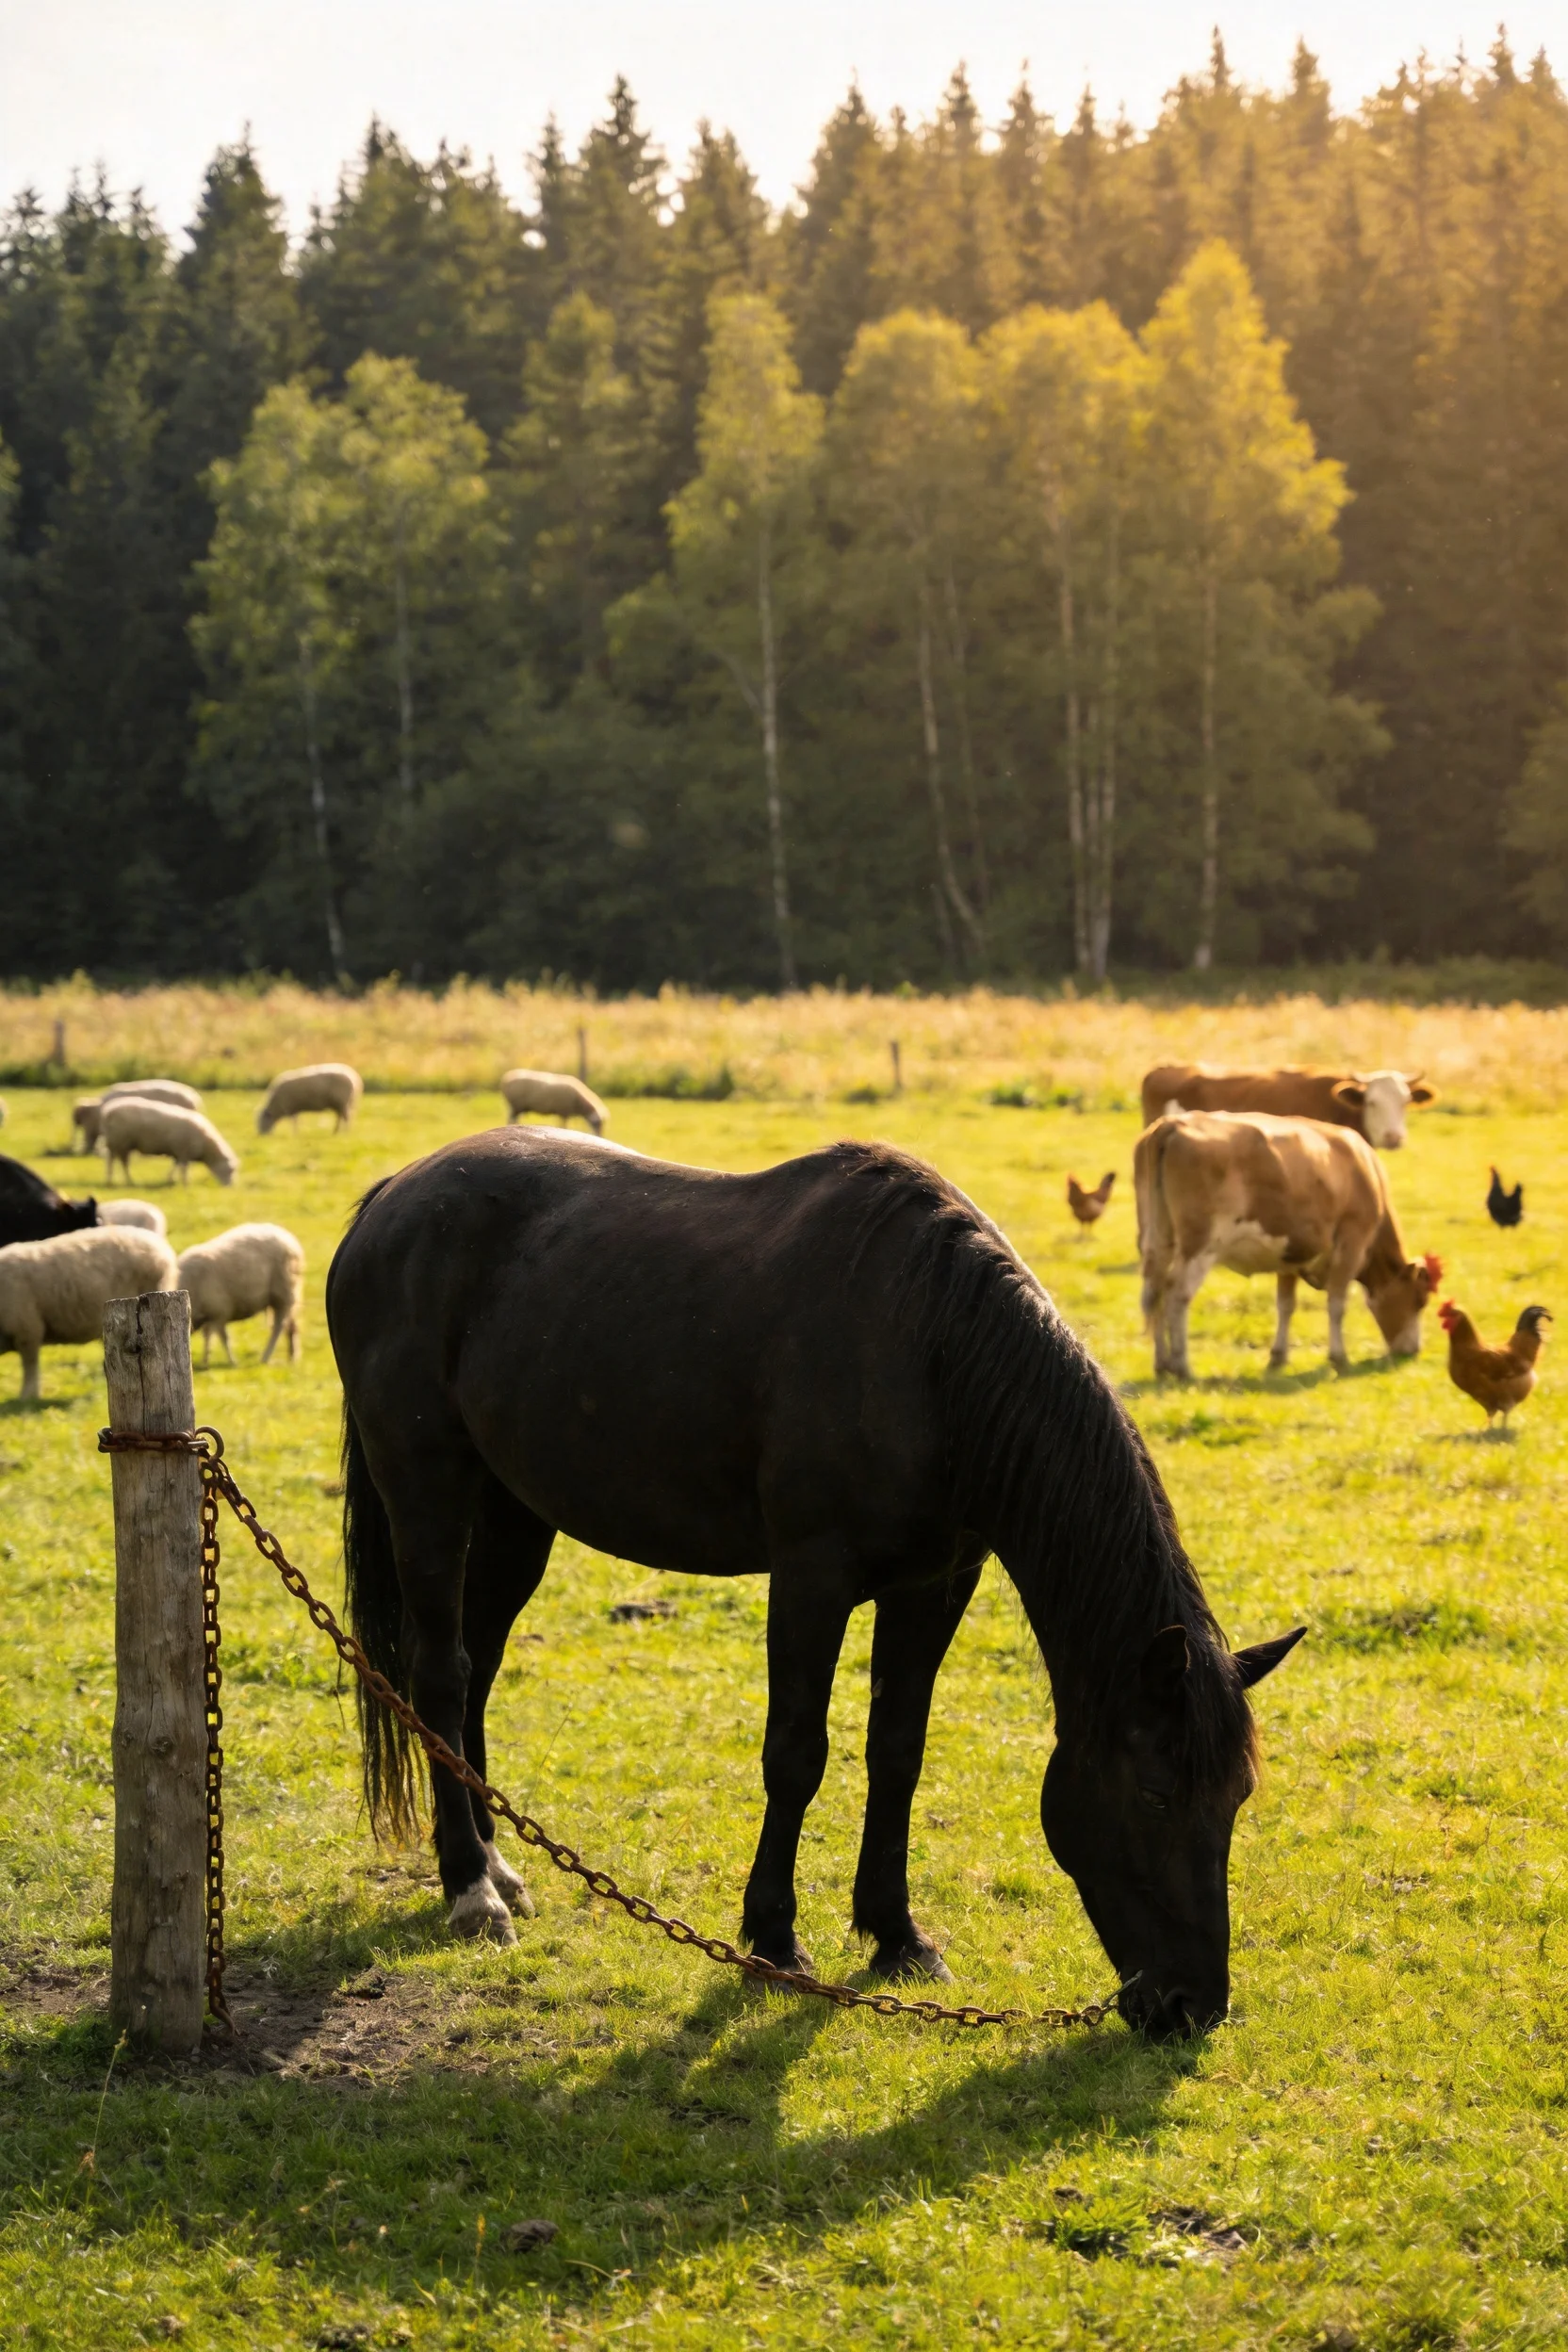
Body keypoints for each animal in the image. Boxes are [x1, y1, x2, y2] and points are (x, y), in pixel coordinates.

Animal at [326, 1131, 1303, 2039]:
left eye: (1237, 1798)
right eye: (1156, 1794)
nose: (1191, 2007)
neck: (928, 1351)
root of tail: (392, 1197)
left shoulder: (934, 1586)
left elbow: (897, 1752)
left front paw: (897, 1935)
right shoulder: (810, 1579)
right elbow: (796, 1755)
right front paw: (774, 1938)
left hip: (514, 1513)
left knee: (477, 1671)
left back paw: (498, 1863)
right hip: (427, 1488)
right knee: (439, 1674)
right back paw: (469, 1888)